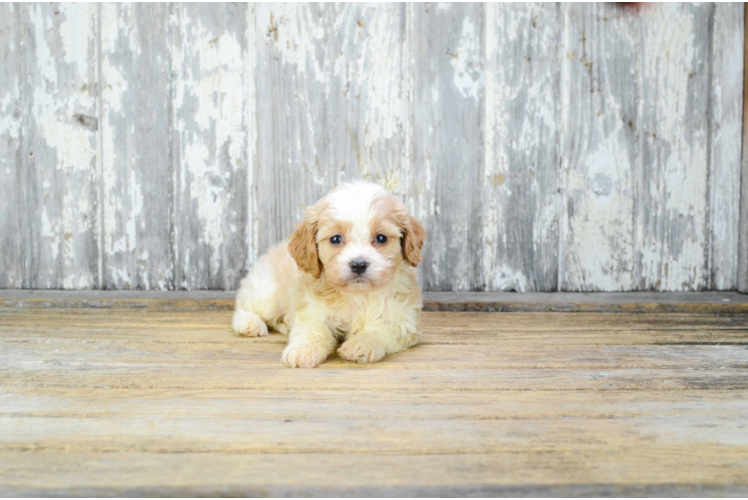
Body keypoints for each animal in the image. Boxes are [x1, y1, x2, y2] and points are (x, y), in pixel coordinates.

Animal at [231, 182, 424, 370]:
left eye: (381, 238)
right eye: (336, 239)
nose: (359, 264)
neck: (358, 295)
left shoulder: (403, 319)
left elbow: (380, 329)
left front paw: (361, 344)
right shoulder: (312, 309)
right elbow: (312, 330)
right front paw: (303, 351)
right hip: (267, 292)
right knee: (245, 305)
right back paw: (249, 323)